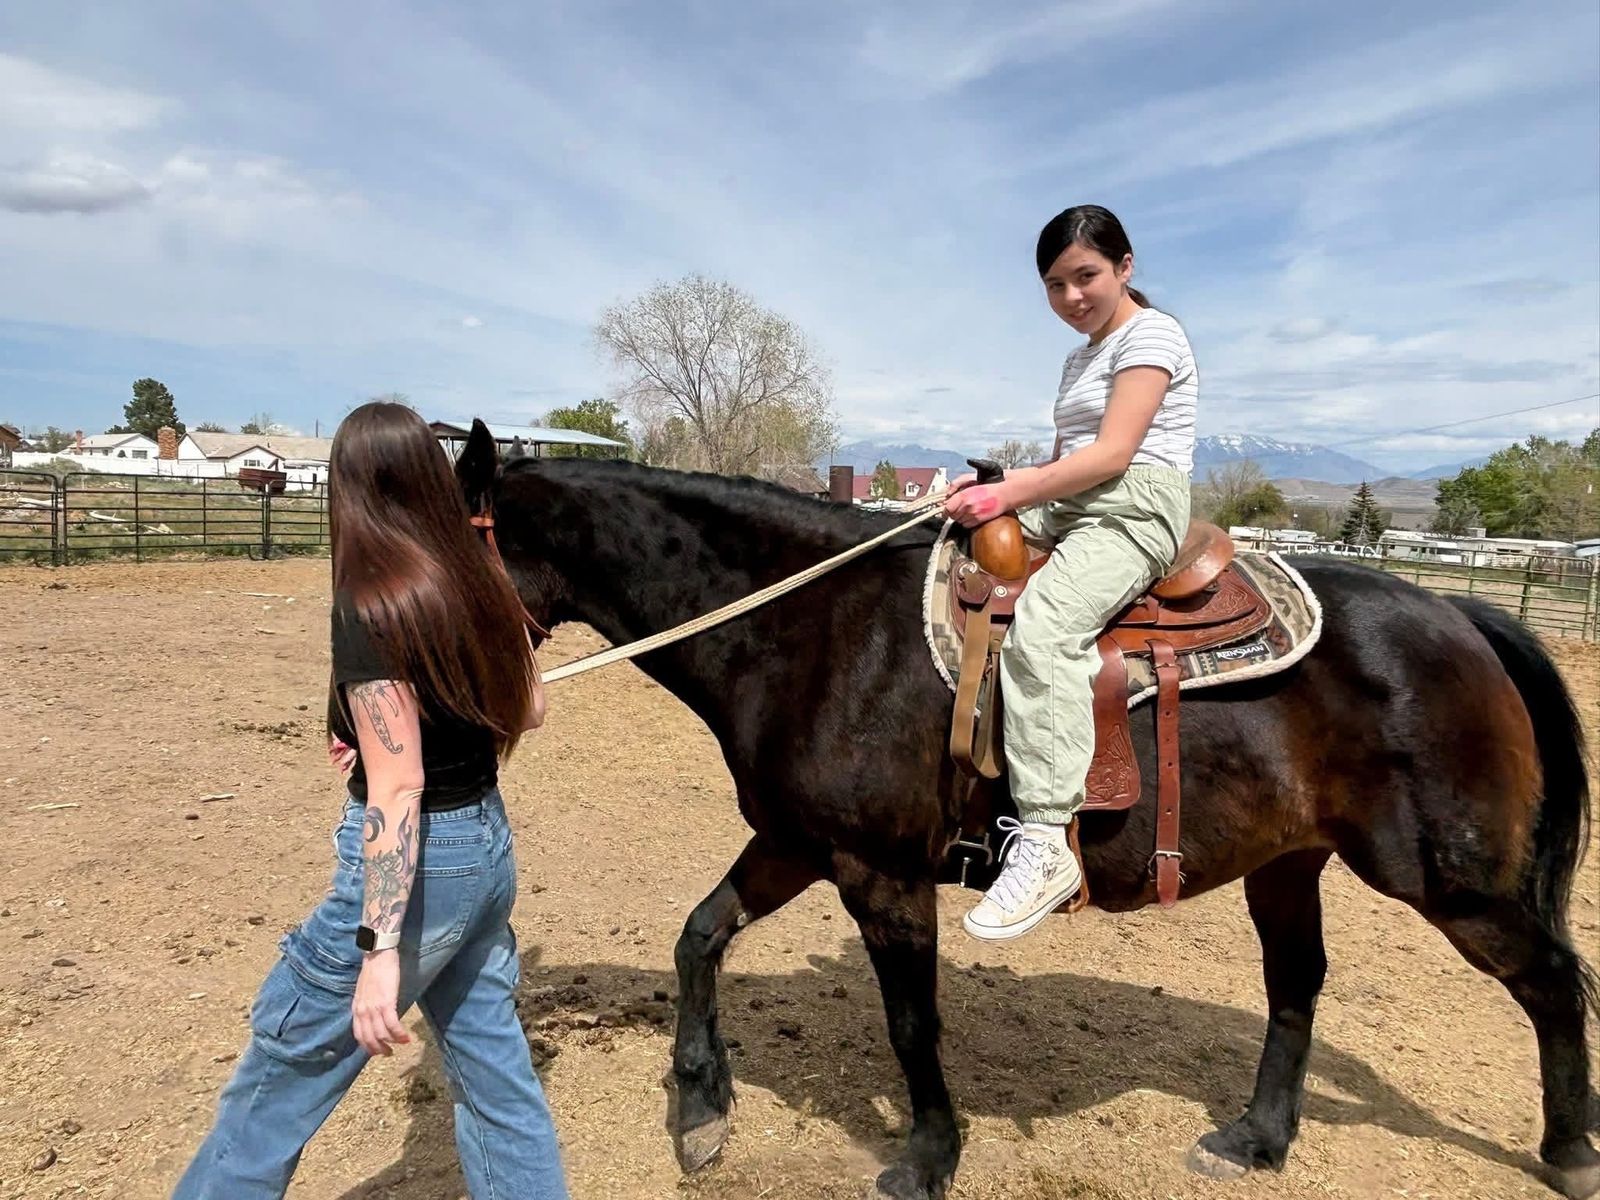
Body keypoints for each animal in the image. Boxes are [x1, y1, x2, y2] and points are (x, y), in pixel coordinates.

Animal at [453, 421, 1598, 1200]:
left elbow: (911, 1021)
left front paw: (926, 1158)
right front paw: (700, 1106)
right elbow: (697, 937)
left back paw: (1569, 1149)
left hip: (1451, 883)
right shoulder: (796, 842)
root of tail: (1461, 614)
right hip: (1289, 865)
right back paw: (1257, 1138)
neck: (813, 627)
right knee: (1296, 988)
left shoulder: (880, 872)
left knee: (1551, 983)